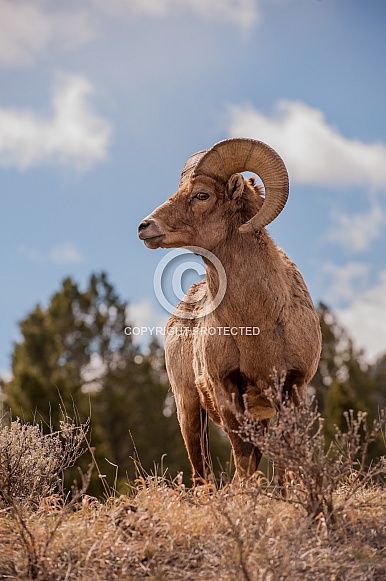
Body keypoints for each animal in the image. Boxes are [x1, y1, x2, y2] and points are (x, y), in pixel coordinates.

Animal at [139, 138, 322, 482]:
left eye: (201, 194)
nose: (144, 227)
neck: (259, 327)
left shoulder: (293, 388)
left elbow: (287, 461)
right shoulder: (226, 391)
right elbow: (243, 459)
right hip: (188, 408)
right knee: (202, 474)